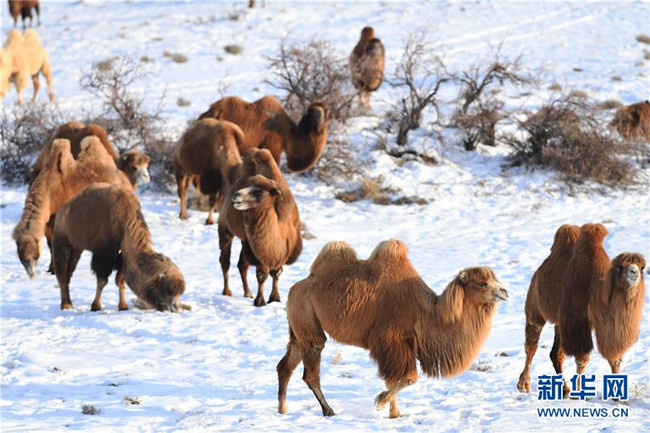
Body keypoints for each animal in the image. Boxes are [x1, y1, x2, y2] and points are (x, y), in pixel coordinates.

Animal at [13, 137, 131, 279]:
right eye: (22, 258)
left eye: (36, 256)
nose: (31, 275)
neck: (50, 191)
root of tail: (124, 179)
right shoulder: (48, 223)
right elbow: (50, 244)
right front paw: (51, 268)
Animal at [53, 183, 185, 312]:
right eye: (167, 290)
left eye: (181, 292)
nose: (176, 308)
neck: (124, 219)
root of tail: (61, 211)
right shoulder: (104, 251)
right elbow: (102, 280)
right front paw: (96, 306)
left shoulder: (123, 253)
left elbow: (121, 280)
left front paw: (123, 306)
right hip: (61, 241)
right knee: (62, 272)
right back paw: (65, 305)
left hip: (76, 248)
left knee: (69, 272)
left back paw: (68, 302)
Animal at [218, 148, 302, 307]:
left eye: (258, 192)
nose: (236, 195)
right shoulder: (257, 247)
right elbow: (262, 274)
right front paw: (260, 301)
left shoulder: (285, 247)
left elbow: (276, 272)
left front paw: (275, 298)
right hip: (225, 228)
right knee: (225, 260)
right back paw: (227, 291)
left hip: (244, 239)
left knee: (242, 265)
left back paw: (247, 293)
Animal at [277, 239, 508, 418]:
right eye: (482, 283)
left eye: (494, 279)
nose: (504, 291)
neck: (426, 312)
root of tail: (294, 289)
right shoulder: (389, 339)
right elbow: (408, 377)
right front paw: (381, 402)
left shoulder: (400, 343)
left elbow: (393, 379)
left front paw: (395, 413)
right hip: (308, 324)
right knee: (311, 370)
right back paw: (328, 410)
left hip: (298, 329)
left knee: (285, 365)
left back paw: (282, 409)